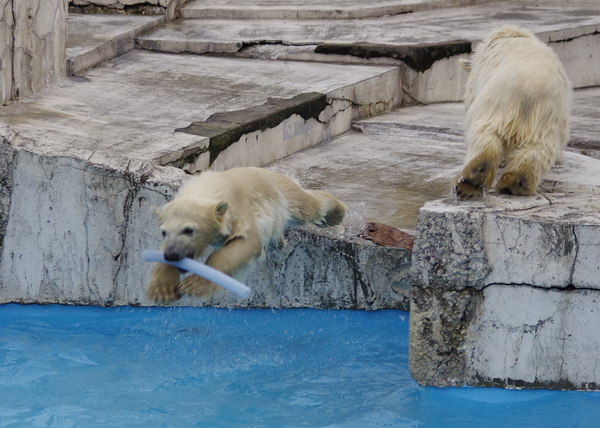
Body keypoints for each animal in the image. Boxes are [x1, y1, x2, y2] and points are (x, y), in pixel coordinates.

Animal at [144, 166, 346, 302]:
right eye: (163, 232)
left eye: (189, 230)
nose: (172, 255)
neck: (206, 189)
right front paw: (162, 289)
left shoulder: (237, 209)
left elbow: (246, 244)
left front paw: (193, 284)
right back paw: (279, 242)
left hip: (281, 192)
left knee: (306, 207)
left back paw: (337, 212)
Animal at [454, 27, 572, 198]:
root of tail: (528, 92)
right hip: (548, 118)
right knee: (539, 149)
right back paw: (516, 183)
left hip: (496, 103)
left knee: (483, 134)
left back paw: (471, 180)